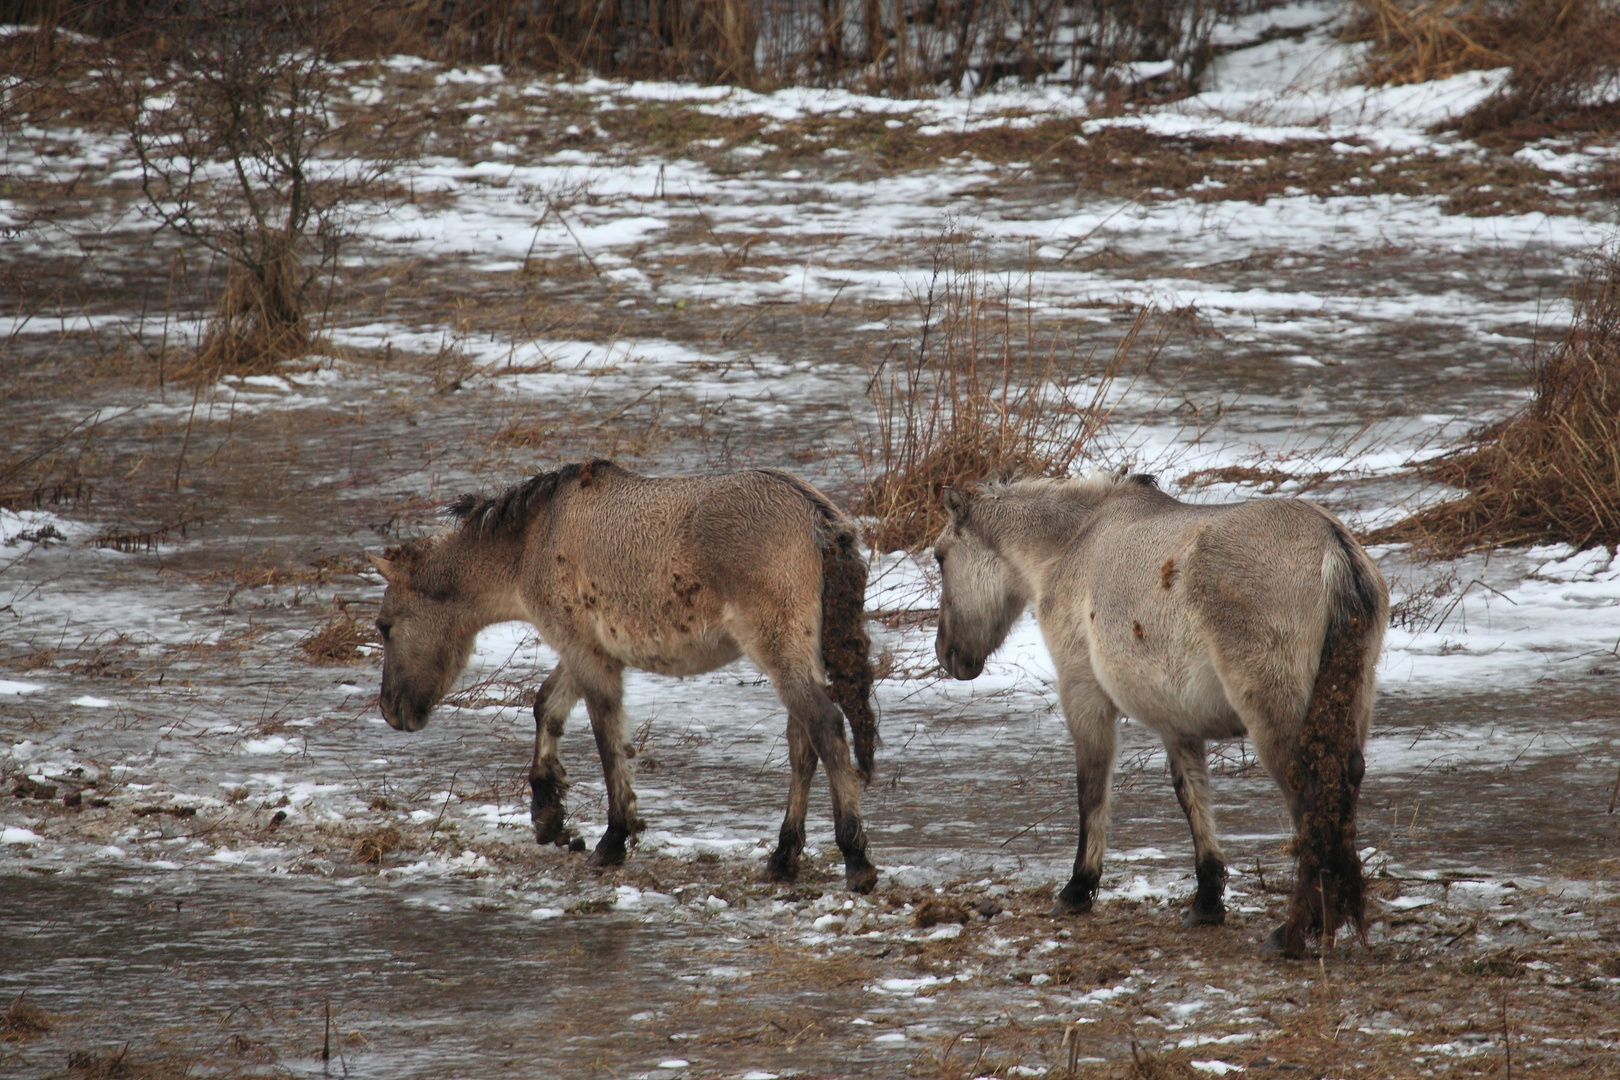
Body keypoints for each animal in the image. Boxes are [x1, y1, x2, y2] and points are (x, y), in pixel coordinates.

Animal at [369, 459, 881, 893]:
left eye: (385, 626)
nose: (392, 712)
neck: (534, 539)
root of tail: (821, 521)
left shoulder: (586, 653)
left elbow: (606, 737)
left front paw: (611, 839)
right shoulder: (587, 649)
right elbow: (547, 706)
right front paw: (549, 815)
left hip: (778, 651)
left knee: (826, 728)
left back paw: (856, 860)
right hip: (796, 655)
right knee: (804, 743)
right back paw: (783, 856)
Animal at [933, 472, 1386, 952]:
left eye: (940, 558)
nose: (945, 653)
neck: (1073, 542)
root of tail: (1333, 546)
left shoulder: (1083, 693)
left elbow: (1091, 789)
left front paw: (1077, 889)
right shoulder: (1177, 721)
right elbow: (1192, 798)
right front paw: (1207, 901)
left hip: (1275, 720)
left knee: (1311, 798)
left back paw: (1295, 929)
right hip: (1349, 711)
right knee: (1343, 787)